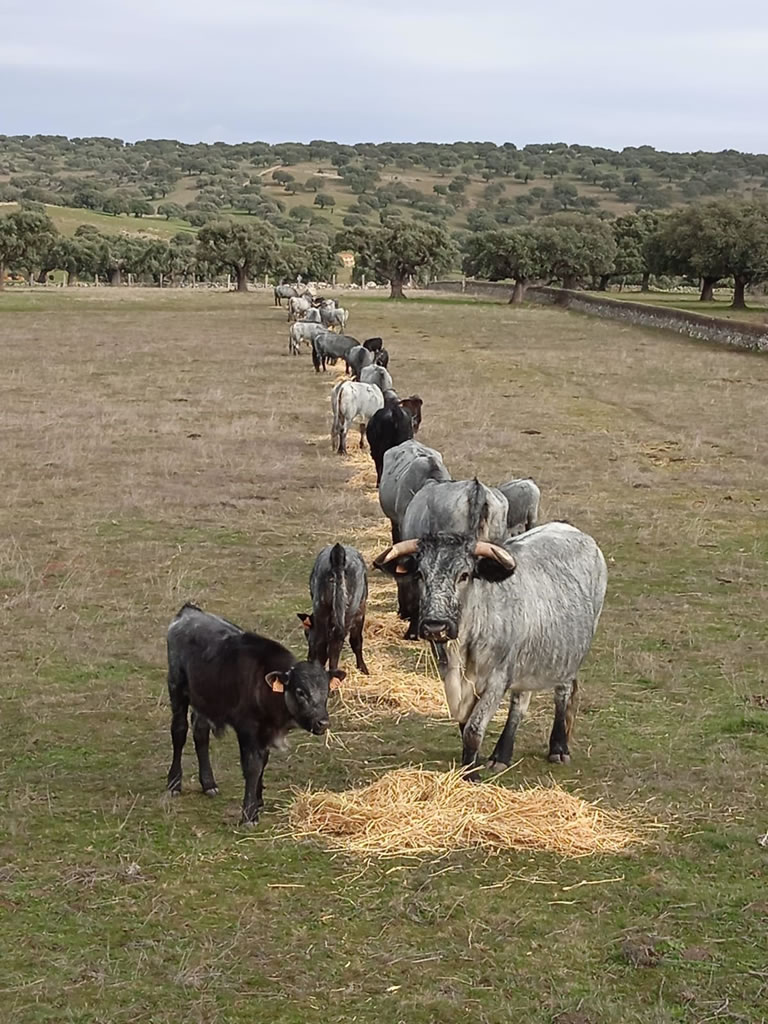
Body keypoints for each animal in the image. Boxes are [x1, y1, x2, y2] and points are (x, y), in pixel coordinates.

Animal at [166, 602, 344, 827]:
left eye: (327, 691)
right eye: (300, 692)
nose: (323, 722)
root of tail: (189, 611)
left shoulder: (264, 732)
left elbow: (263, 763)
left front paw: (258, 800)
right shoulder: (247, 729)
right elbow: (252, 766)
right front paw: (249, 814)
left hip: (205, 699)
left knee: (200, 732)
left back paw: (208, 783)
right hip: (177, 687)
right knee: (179, 730)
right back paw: (174, 783)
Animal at [296, 544, 370, 679]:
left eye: (306, 633)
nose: (309, 658)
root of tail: (337, 554)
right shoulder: (360, 613)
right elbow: (356, 641)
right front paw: (363, 668)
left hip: (321, 608)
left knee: (323, 644)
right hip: (349, 611)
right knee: (334, 644)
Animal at [376, 524, 610, 778]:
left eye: (464, 575)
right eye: (420, 574)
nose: (435, 626)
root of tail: (572, 530)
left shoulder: (497, 679)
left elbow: (473, 728)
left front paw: (471, 775)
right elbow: (464, 724)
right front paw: (470, 763)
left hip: (567, 657)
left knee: (562, 694)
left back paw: (558, 748)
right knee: (519, 702)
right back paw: (502, 754)